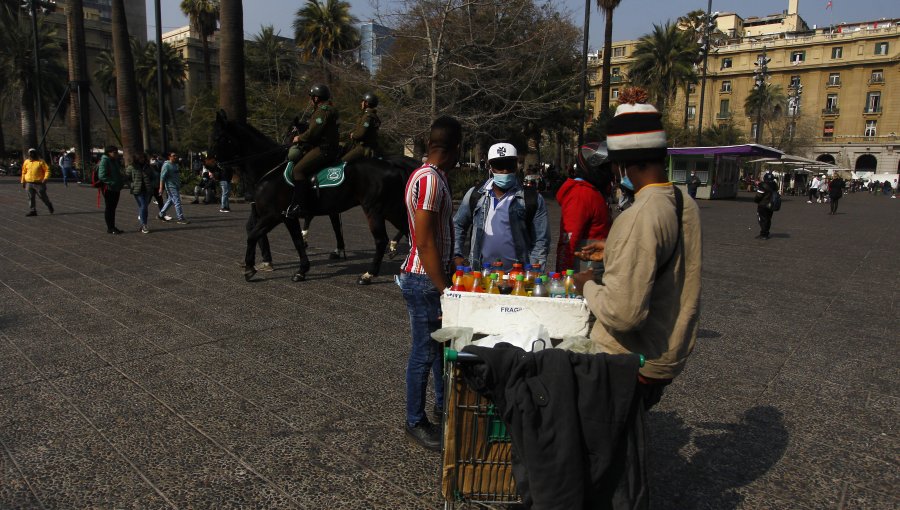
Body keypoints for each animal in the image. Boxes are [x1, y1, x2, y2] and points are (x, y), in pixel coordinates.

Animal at [212, 110, 418, 282]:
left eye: (219, 138)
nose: (212, 168)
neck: (270, 167)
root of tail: (394, 166)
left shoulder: (272, 215)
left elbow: (253, 235)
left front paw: (249, 269)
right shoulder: (288, 217)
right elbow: (297, 241)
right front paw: (302, 270)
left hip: (376, 210)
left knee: (382, 239)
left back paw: (369, 274)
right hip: (389, 209)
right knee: (407, 230)